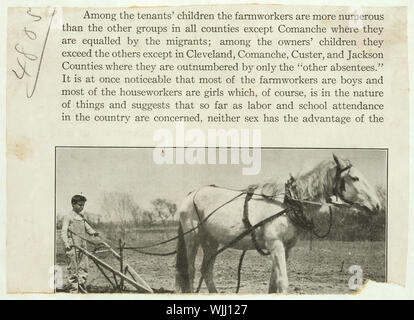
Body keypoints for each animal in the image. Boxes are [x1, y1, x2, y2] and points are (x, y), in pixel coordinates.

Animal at [175, 154, 382, 294]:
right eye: (354, 178)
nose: (378, 205)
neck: (288, 203)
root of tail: (191, 194)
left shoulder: (286, 248)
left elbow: (273, 284)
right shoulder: (275, 245)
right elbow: (282, 282)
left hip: (211, 241)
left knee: (206, 270)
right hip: (192, 237)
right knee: (191, 270)